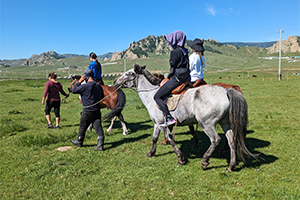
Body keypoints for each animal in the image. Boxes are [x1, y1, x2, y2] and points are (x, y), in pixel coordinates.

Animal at [115, 64, 255, 172]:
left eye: (128, 73)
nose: (115, 82)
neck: (151, 95)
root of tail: (226, 91)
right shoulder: (157, 123)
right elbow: (154, 139)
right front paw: (151, 153)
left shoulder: (162, 124)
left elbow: (171, 140)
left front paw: (180, 159)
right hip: (225, 123)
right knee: (231, 140)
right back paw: (231, 166)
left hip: (207, 124)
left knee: (216, 140)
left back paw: (205, 161)